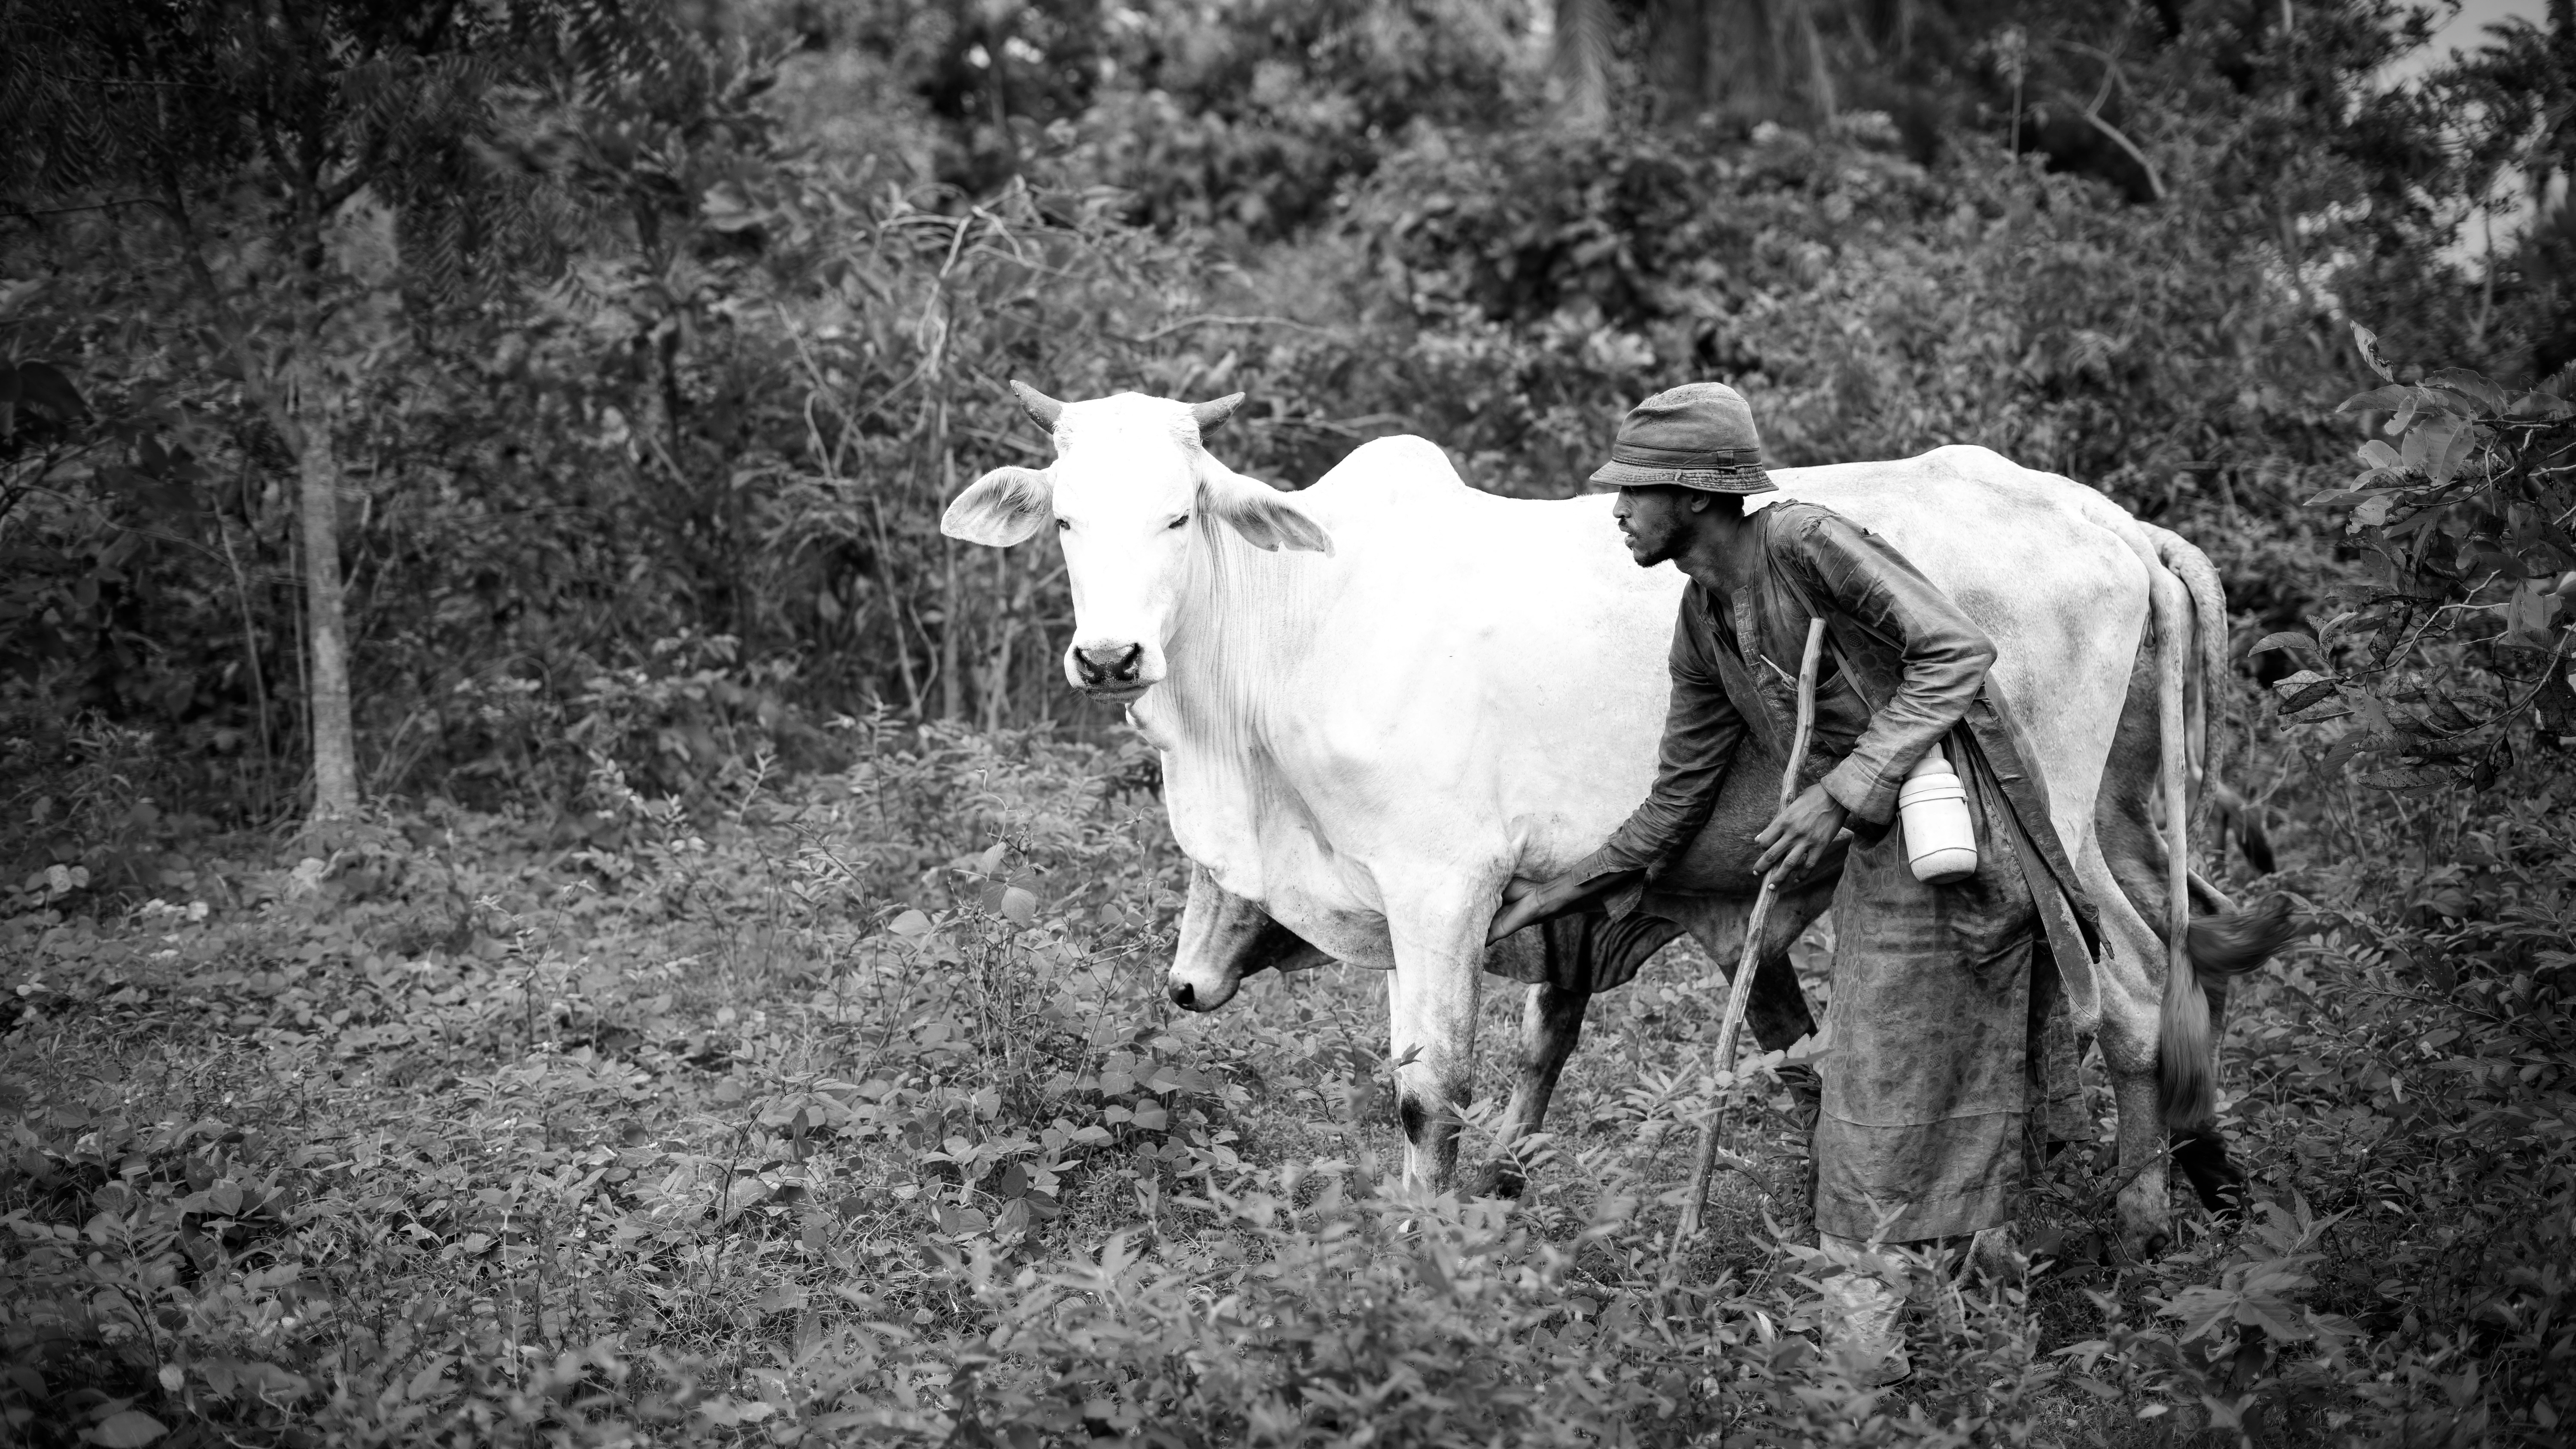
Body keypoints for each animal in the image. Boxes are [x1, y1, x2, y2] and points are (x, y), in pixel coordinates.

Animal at [940, 383, 2292, 1255]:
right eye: (1065, 520)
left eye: (1180, 514)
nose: (1109, 655)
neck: (1298, 623)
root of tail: (2112, 522)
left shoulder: (1441, 889)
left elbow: (1430, 1091)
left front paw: (1414, 1260)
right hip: (2120, 808)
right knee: (2170, 971)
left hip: (2050, 810)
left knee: (2131, 990)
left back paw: (2139, 1225)